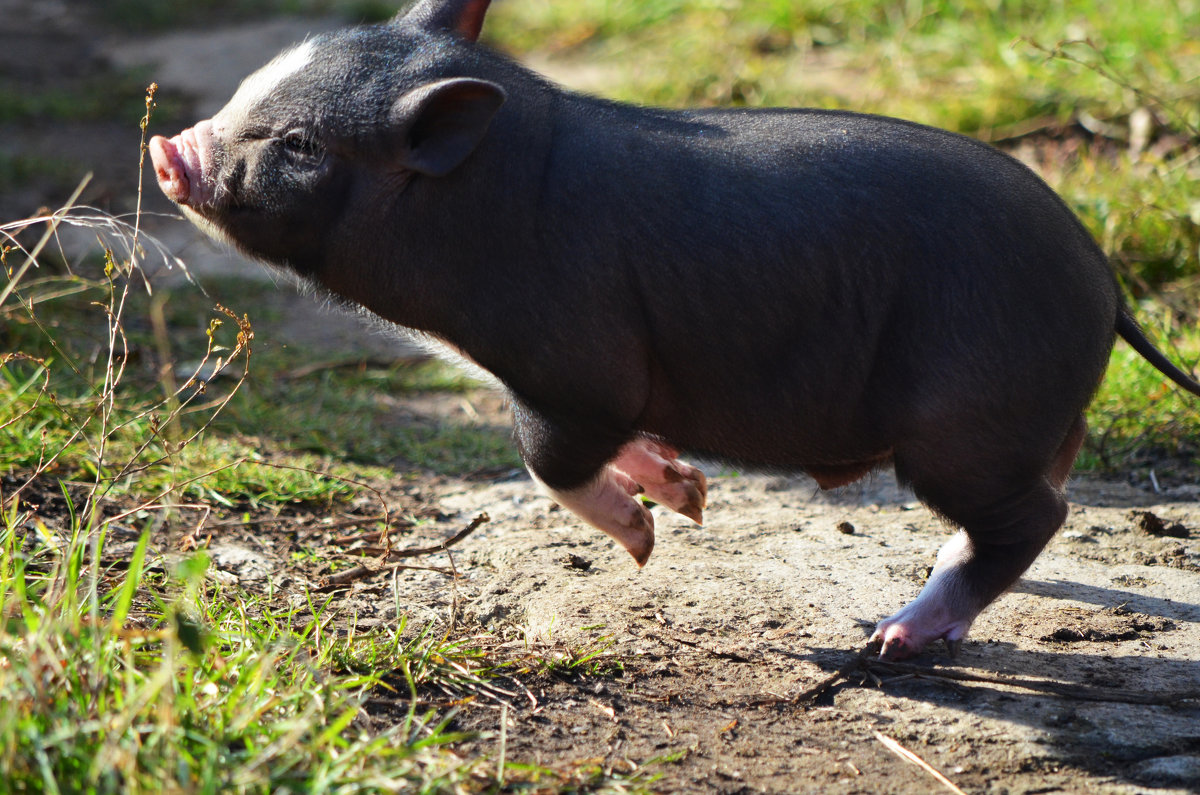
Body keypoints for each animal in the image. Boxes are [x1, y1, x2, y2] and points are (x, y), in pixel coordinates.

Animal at [147, 0, 1200, 662]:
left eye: (299, 144)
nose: (169, 148)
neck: (492, 200)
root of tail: (1103, 280)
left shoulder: (577, 365)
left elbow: (545, 458)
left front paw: (654, 538)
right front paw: (690, 495)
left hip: (964, 421)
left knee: (1034, 516)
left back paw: (894, 637)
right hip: (1021, 417)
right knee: (1032, 500)